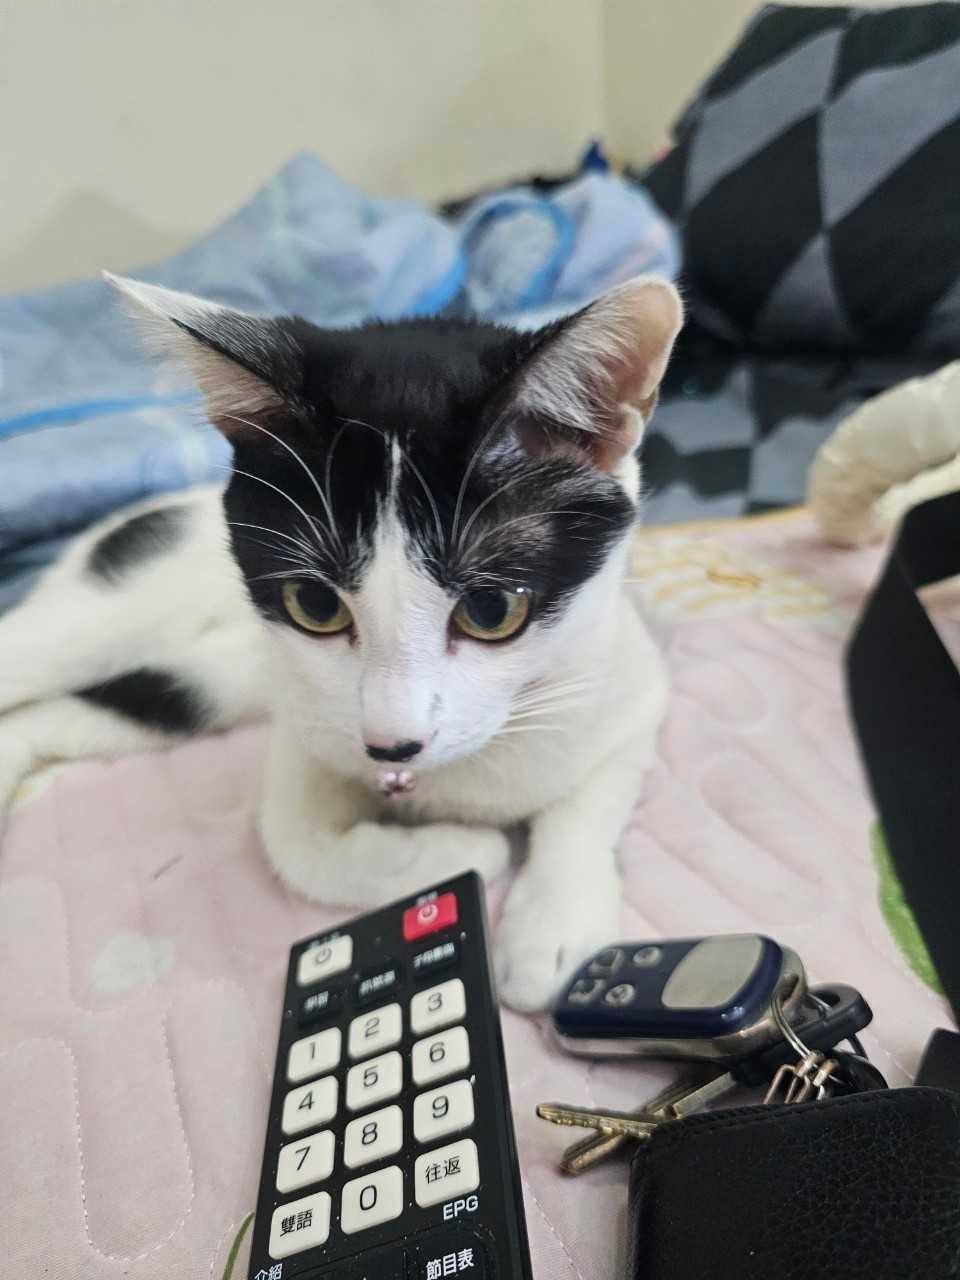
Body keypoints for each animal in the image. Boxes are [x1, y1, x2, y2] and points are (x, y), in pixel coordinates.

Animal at [0, 271, 681, 1011]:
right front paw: (465, 851)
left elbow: (591, 799)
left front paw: (552, 929)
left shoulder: (626, 685)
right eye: (316, 605)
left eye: (492, 610)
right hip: (110, 621)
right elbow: (295, 846)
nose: (393, 745)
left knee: (84, 710)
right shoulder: (304, 732)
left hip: (208, 683)